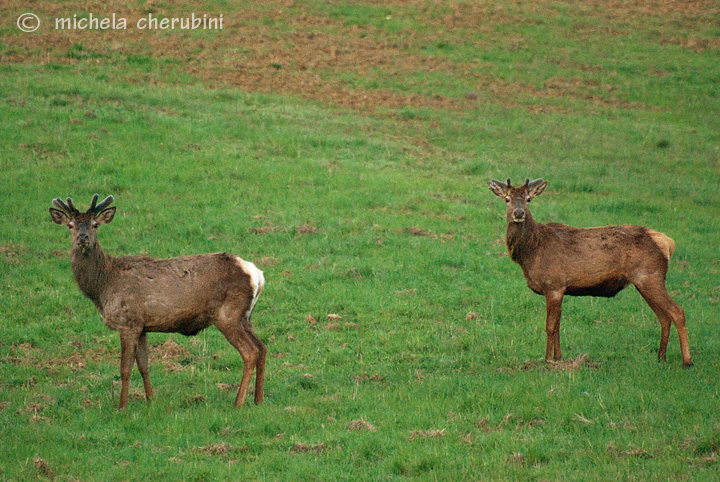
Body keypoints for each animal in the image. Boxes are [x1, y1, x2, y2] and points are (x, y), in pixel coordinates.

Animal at [50, 194, 268, 408]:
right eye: (70, 225)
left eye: (95, 224)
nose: (82, 238)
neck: (103, 286)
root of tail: (257, 274)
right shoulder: (142, 326)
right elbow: (144, 365)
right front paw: (150, 400)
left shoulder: (127, 322)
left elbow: (125, 369)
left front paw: (122, 407)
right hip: (245, 316)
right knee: (262, 347)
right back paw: (258, 399)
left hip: (228, 314)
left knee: (250, 352)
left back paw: (238, 403)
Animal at [486, 177, 696, 366]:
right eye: (507, 198)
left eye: (529, 198)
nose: (519, 212)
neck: (531, 252)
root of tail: (667, 243)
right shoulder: (561, 288)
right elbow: (559, 324)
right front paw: (559, 357)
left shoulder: (553, 285)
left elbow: (550, 325)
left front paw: (547, 359)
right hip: (645, 282)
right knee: (664, 316)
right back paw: (661, 358)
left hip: (650, 277)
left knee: (677, 311)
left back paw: (687, 361)